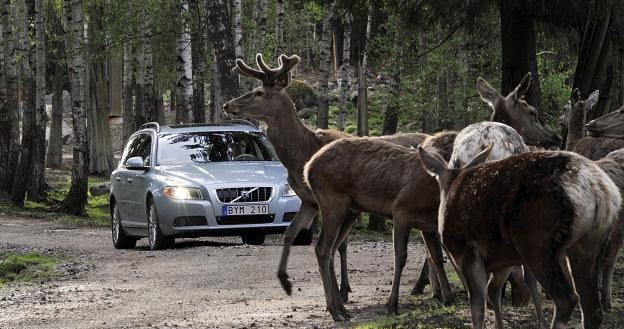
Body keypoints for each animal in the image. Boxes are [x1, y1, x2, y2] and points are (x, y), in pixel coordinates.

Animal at [222, 53, 442, 304]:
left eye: (259, 92)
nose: (228, 105)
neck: (302, 154)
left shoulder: (340, 203)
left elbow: (339, 245)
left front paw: (341, 291)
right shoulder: (311, 201)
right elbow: (299, 236)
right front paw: (333, 290)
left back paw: (429, 287)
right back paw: (425, 285)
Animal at [420, 145, 620, 328]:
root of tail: (602, 192)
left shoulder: (468, 254)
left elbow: (478, 309)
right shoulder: (504, 259)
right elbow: (493, 291)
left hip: (537, 243)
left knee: (567, 299)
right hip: (588, 243)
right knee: (592, 310)